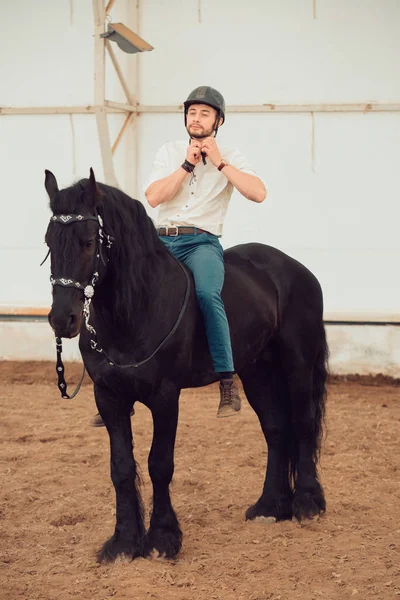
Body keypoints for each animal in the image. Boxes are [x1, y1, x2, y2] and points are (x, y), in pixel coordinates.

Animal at [43, 168, 328, 564]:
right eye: (49, 242)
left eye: (87, 242)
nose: (62, 319)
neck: (137, 309)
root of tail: (295, 269)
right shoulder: (109, 398)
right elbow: (121, 468)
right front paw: (123, 542)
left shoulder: (166, 397)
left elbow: (159, 464)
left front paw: (162, 539)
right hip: (257, 370)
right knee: (275, 428)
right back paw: (270, 506)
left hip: (298, 363)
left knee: (302, 423)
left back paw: (307, 504)